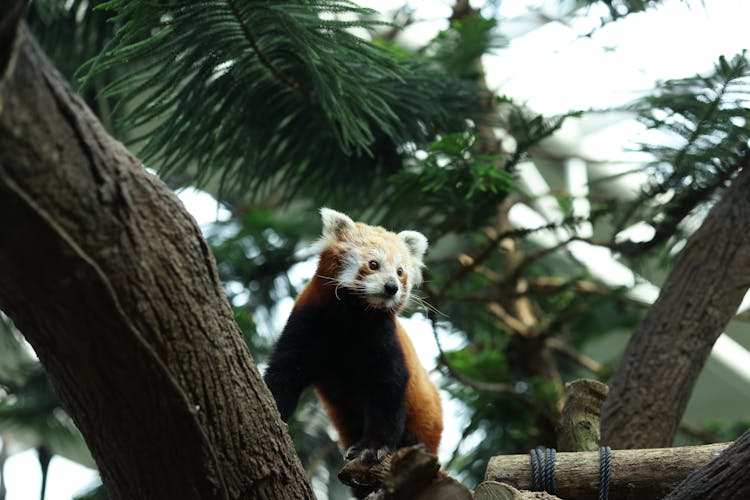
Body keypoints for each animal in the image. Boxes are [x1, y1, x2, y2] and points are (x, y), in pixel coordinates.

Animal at [264, 207, 444, 464]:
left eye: (400, 272)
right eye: (373, 264)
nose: (392, 287)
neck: (353, 317)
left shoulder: (384, 338)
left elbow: (388, 388)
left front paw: (373, 447)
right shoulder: (307, 322)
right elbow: (285, 370)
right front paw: (274, 407)